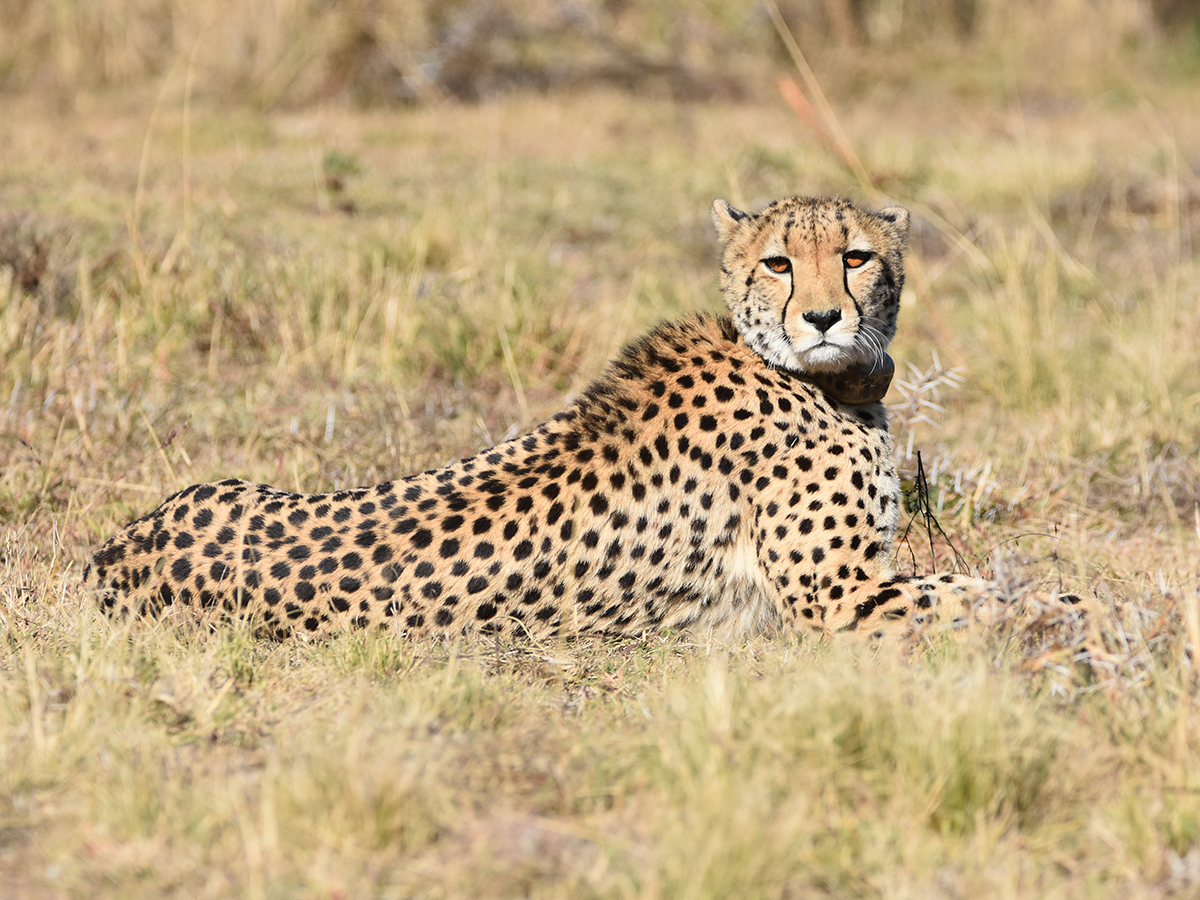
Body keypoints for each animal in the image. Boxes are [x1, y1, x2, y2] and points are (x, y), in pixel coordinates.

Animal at [84, 194, 1055, 642]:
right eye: (779, 263)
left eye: (855, 258)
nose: (821, 318)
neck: (820, 377)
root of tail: (114, 553)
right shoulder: (842, 599)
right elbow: (1001, 597)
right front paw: (1080, 621)